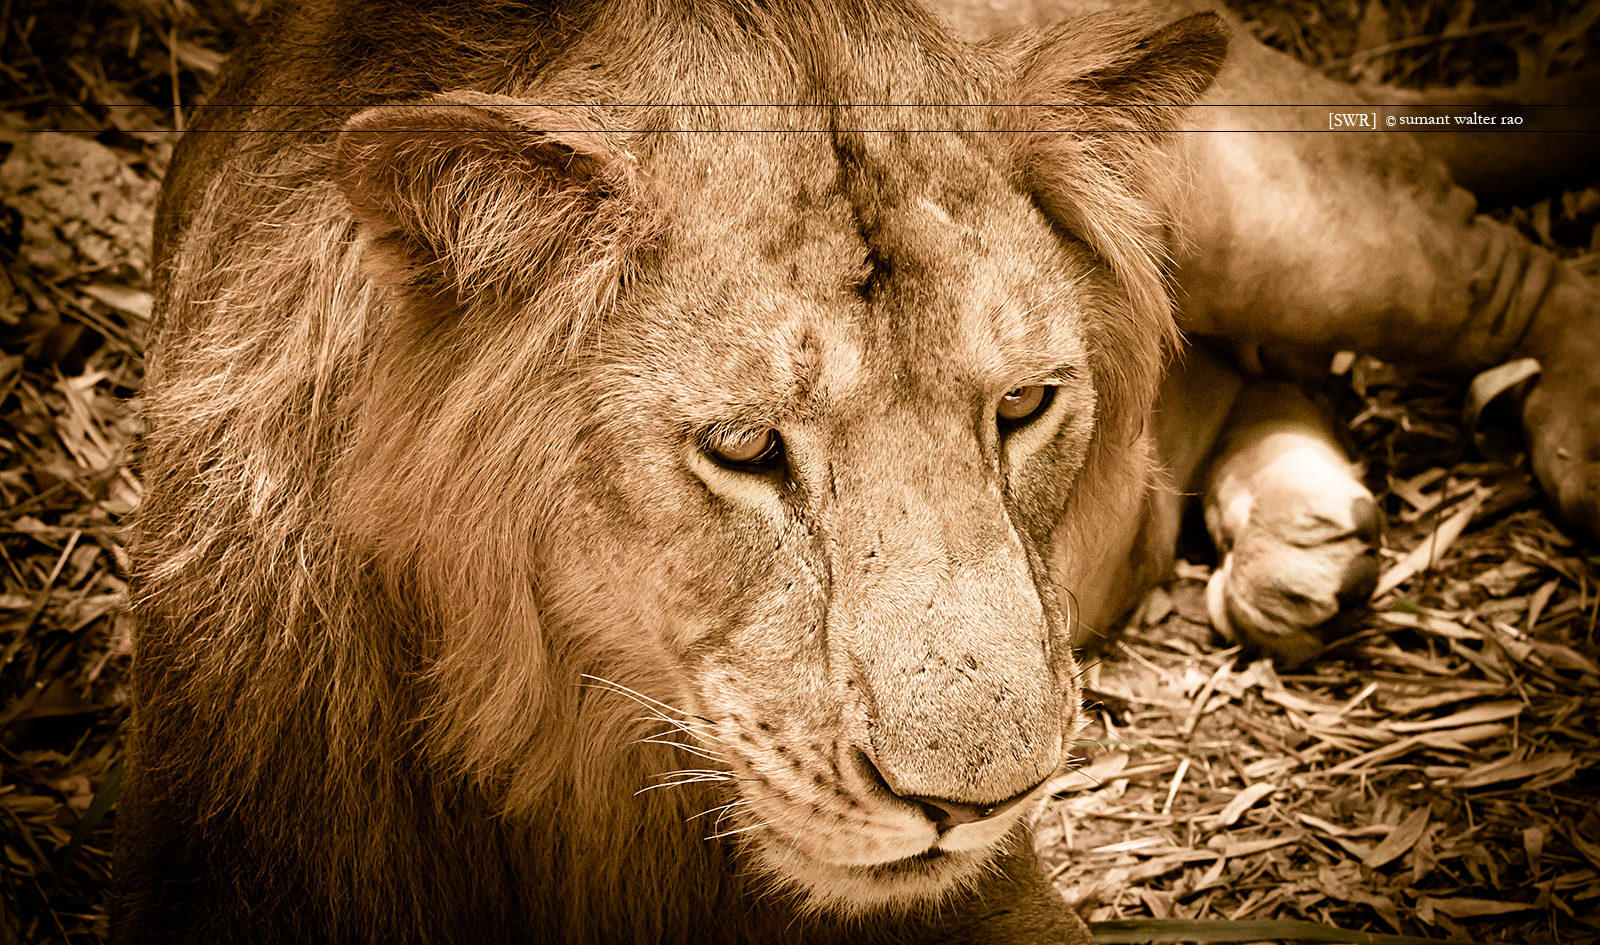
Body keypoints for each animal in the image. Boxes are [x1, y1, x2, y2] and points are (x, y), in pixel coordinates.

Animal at [115, 0, 1600, 941]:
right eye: (742, 450)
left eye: (1024, 404)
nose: (978, 805)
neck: (571, 770)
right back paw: (1301, 546)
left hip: (1282, 219)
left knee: (1522, 278)